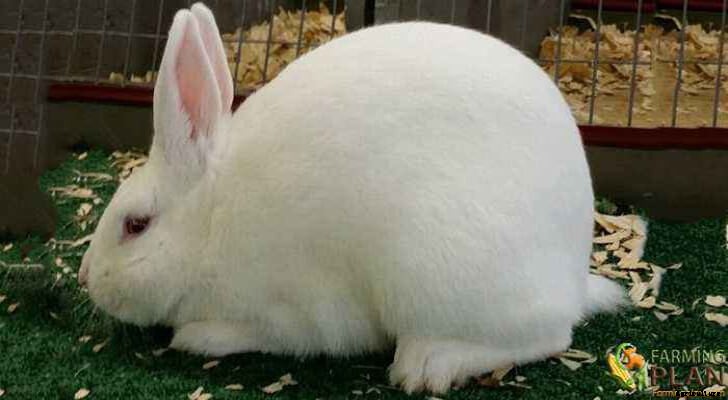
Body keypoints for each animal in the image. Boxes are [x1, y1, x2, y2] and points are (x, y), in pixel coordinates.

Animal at [78, 2, 625, 394]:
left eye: (136, 225)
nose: (86, 278)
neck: (214, 220)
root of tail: (573, 277)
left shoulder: (295, 310)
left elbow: (265, 334)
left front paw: (195, 337)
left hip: (437, 275)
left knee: (547, 336)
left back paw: (429, 365)